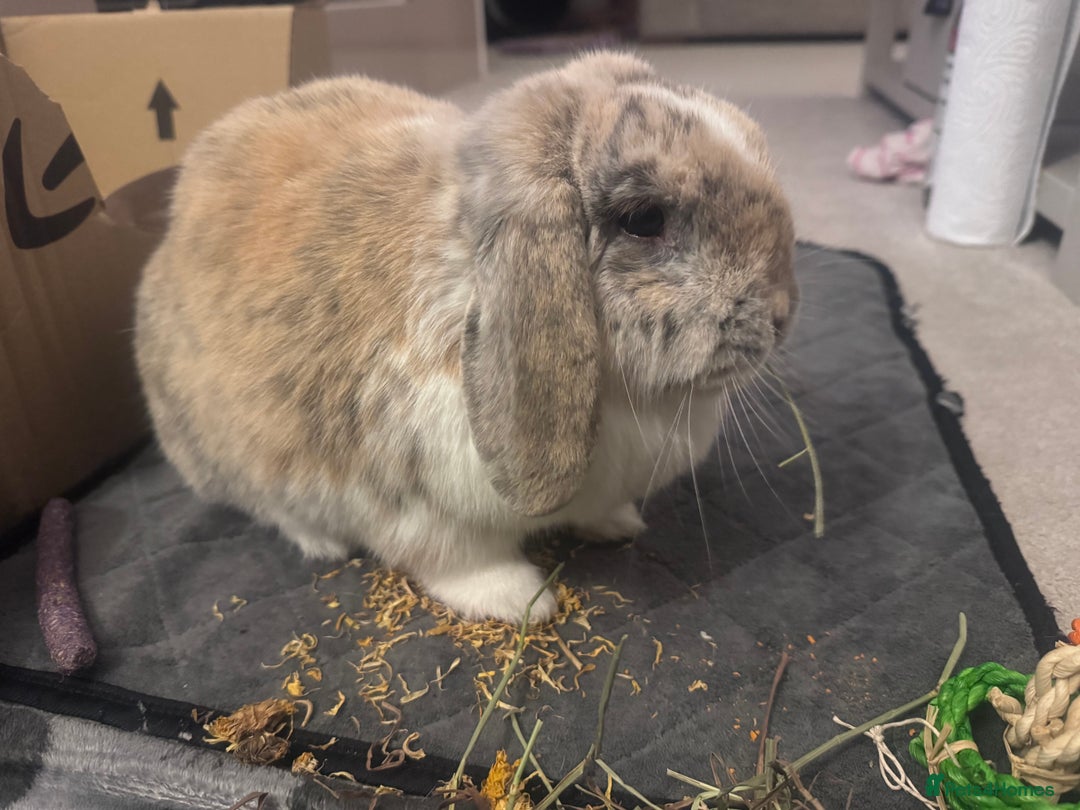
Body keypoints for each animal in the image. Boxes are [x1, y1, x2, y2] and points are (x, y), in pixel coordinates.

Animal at [134, 51, 797, 624]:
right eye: (645, 220)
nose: (784, 315)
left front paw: (620, 525)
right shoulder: (423, 505)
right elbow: (460, 560)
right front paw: (524, 602)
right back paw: (320, 541)